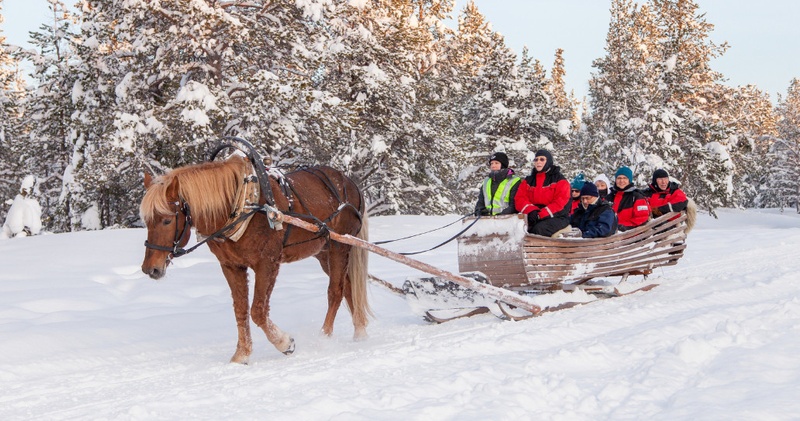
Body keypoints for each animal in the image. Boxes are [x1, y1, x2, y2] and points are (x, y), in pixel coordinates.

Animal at [139, 155, 370, 364]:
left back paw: (324, 337)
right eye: (147, 221)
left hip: (341, 245)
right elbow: (240, 310)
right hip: (323, 252)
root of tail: (350, 183)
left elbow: (257, 311)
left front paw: (284, 343)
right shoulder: (231, 266)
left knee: (336, 291)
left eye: (167, 220)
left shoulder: (267, 262)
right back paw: (360, 333)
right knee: (348, 287)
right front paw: (241, 354)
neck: (242, 205)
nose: (150, 269)